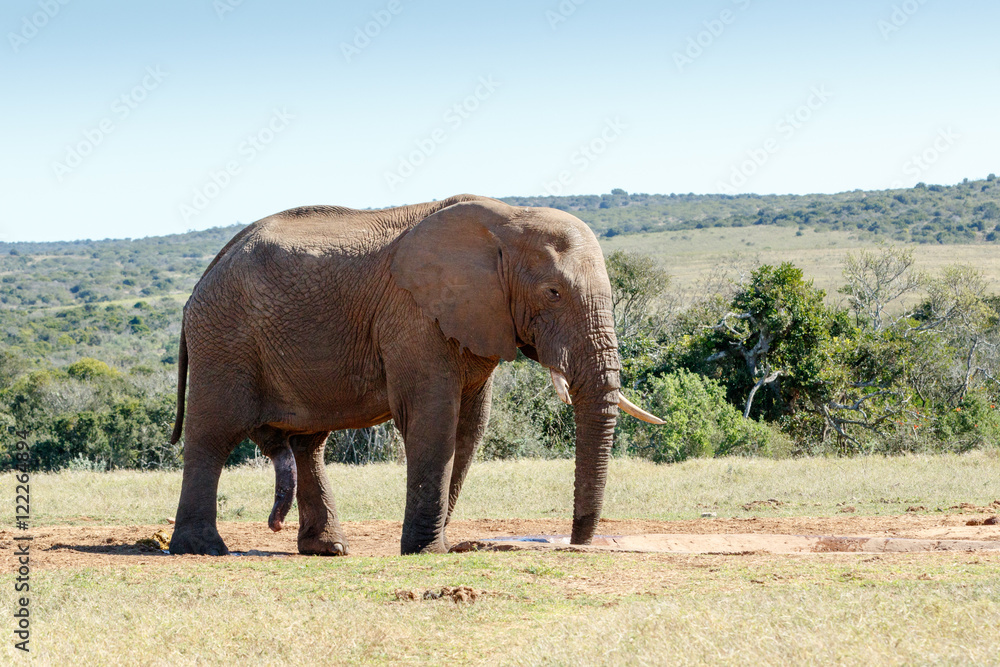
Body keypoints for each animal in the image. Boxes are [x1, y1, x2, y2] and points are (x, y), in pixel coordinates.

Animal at [167, 194, 663, 556]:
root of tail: (206, 274)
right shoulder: (413, 317)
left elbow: (470, 427)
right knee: (212, 434)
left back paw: (328, 549)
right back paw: (202, 549)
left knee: (309, 444)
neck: (506, 219)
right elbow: (432, 420)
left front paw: (437, 544)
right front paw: (427, 551)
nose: (578, 543)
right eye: (553, 292)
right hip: (224, 338)